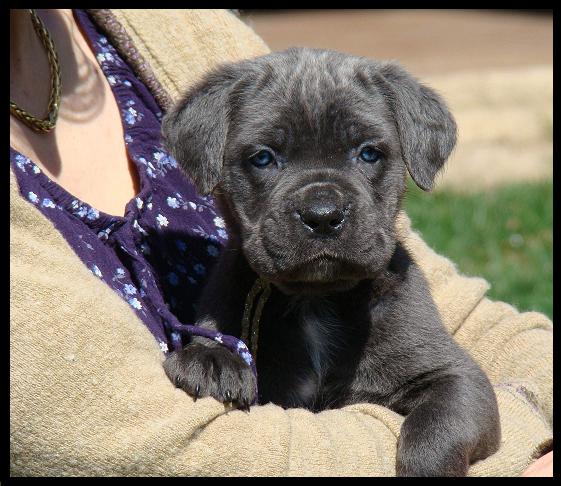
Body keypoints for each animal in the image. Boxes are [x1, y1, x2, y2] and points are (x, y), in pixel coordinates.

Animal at [161, 48, 498, 474]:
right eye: (263, 158)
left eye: (369, 153)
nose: (322, 214)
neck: (316, 298)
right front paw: (211, 360)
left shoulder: (456, 377)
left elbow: (436, 431)